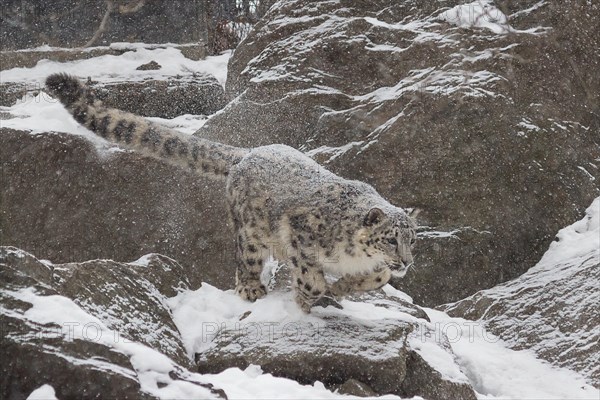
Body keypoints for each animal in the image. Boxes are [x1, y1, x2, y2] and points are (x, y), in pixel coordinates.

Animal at [45, 74, 418, 312]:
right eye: (390, 239)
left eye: (412, 239)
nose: (406, 262)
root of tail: (249, 153)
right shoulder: (301, 236)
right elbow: (310, 276)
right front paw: (311, 295)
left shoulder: (371, 267)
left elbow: (380, 276)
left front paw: (342, 287)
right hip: (250, 232)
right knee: (245, 260)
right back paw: (252, 287)